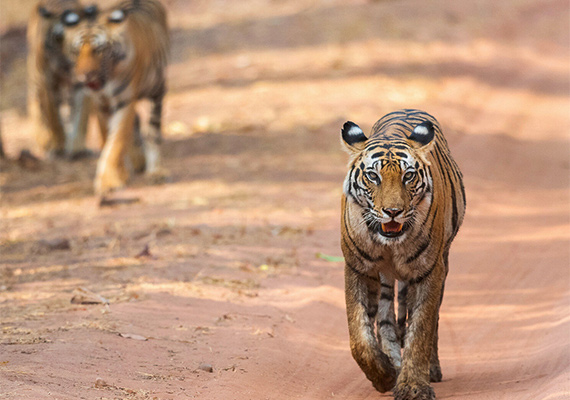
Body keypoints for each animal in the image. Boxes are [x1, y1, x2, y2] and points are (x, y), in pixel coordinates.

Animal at [27, 0, 92, 159]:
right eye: (59, 38)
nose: (69, 64)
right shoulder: (48, 82)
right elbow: (54, 118)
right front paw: (58, 147)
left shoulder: (82, 85)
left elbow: (80, 116)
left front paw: (77, 148)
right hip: (35, 80)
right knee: (37, 108)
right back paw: (44, 140)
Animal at [62, 0, 170, 195]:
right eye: (76, 51)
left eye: (98, 50)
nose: (84, 76)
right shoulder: (102, 105)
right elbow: (108, 139)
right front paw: (120, 174)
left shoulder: (124, 102)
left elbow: (117, 141)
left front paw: (108, 182)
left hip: (157, 89)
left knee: (153, 132)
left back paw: (155, 171)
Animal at [340, 109, 464, 400]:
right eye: (373, 177)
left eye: (408, 176)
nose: (393, 212)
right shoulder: (358, 267)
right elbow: (359, 336)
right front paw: (383, 376)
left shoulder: (429, 270)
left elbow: (421, 329)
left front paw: (413, 386)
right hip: (384, 278)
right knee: (385, 318)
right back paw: (392, 361)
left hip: (441, 263)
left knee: (430, 321)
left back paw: (430, 368)